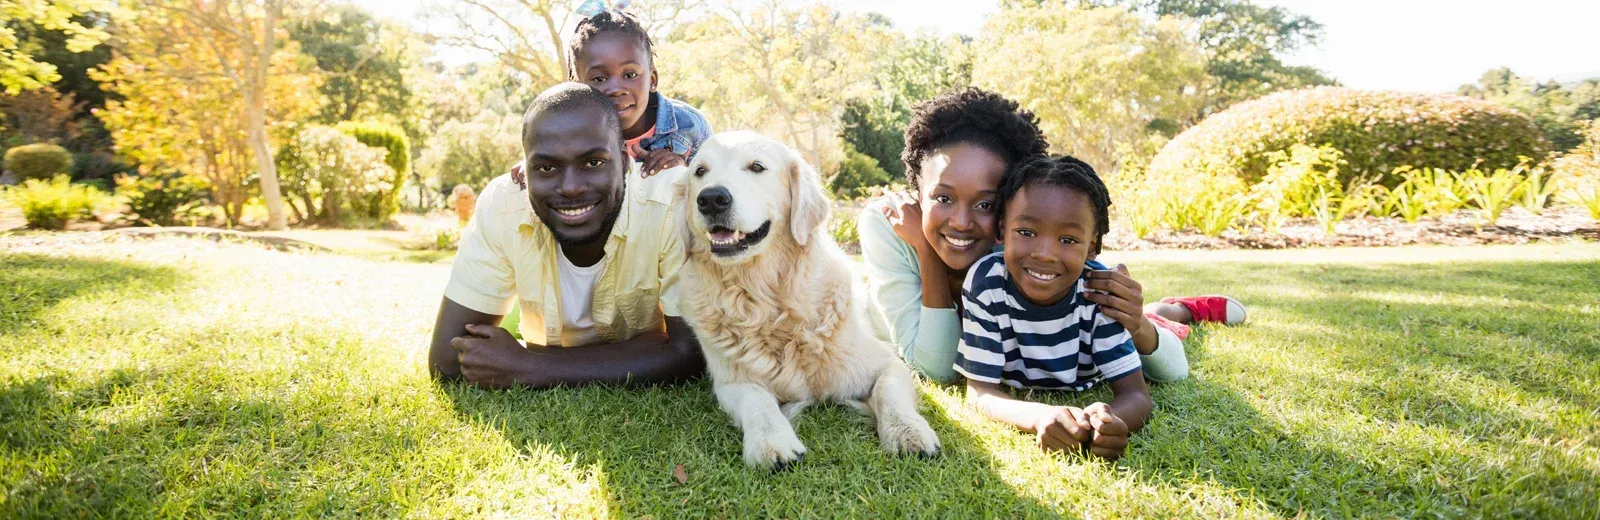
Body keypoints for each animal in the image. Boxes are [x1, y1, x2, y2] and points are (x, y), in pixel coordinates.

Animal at [672, 130, 934, 470]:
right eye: (700, 172)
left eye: (757, 167)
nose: (712, 198)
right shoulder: (731, 383)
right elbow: (757, 400)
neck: (767, 304)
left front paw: (908, 432)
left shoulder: (887, 362)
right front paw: (772, 442)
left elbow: (889, 392)